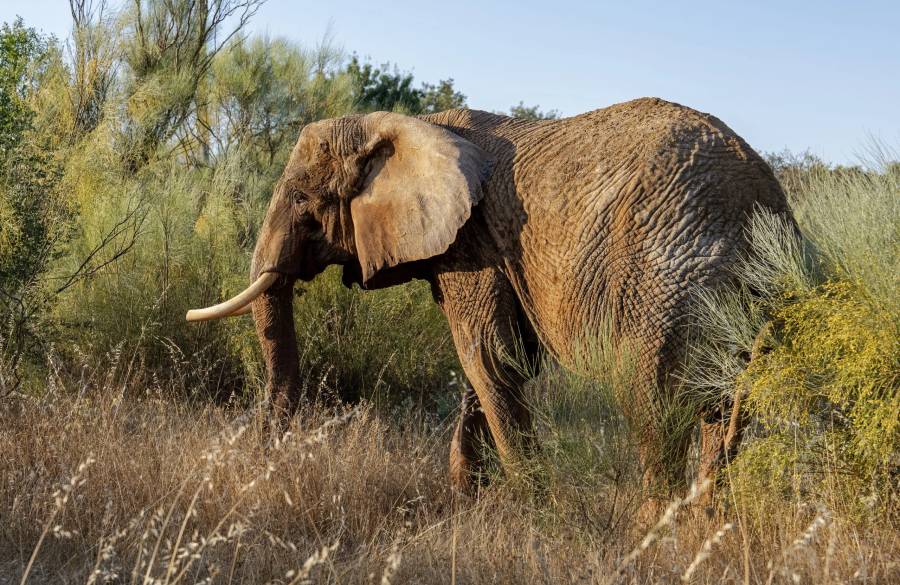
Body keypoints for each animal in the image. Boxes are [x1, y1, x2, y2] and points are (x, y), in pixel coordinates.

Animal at [187, 97, 791, 495]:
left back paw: (653, 531)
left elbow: (488, 358)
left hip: (666, 281)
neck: (409, 125)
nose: (258, 460)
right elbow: (491, 363)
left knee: (654, 404)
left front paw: (533, 507)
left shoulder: (474, 245)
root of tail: (764, 201)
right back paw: (704, 521)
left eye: (304, 202)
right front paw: (467, 499)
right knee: (717, 407)